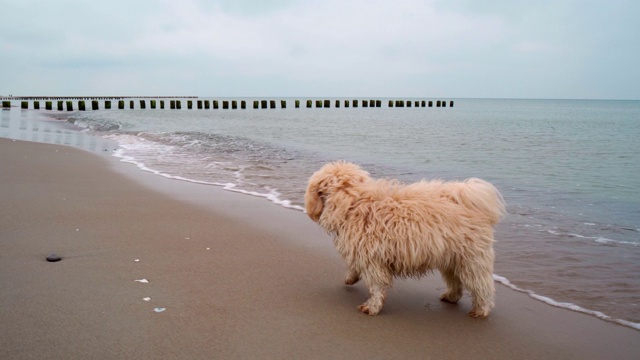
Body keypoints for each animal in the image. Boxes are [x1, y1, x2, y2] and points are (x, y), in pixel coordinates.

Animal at [304, 162, 504, 316]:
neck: (354, 202)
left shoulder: (372, 260)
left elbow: (376, 286)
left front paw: (372, 307)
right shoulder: (362, 252)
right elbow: (355, 267)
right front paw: (350, 278)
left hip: (471, 260)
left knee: (482, 286)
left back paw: (482, 309)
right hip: (452, 258)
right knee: (455, 281)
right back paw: (451, 297)